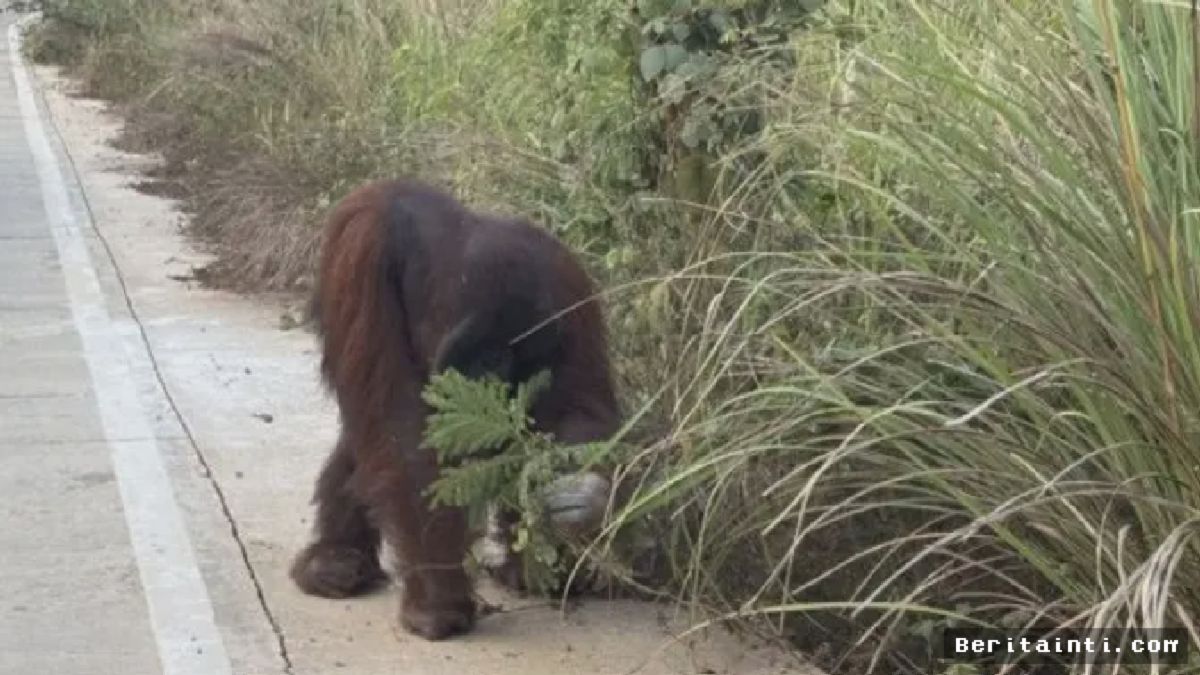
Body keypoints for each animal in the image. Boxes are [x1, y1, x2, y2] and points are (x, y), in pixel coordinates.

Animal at [289, 178, 621, 641]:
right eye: (481, 357)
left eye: (511, 359)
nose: (492, 390)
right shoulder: (362, 251)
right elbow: (398, 429)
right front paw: (436, 605)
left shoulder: (567, 281)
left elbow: (579, 405)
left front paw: (579, 493)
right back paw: (334, 559)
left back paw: (528, 574)